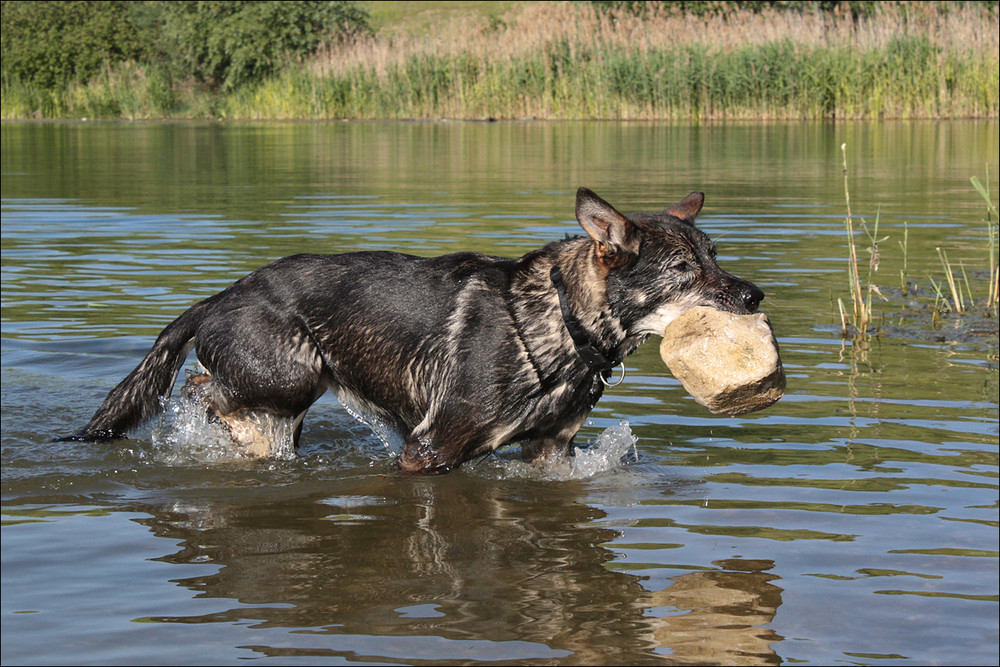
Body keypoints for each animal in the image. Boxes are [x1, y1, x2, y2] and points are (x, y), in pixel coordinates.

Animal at [62, 187, 760, 474]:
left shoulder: (550, 451)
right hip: (292, 376)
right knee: (203, 389)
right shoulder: (429, 451)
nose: (756, 295)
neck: (560, 322)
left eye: (715, 256)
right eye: (684, 271)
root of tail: (219, 295)